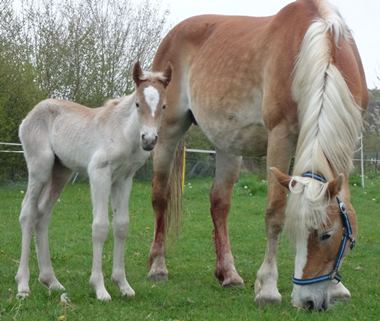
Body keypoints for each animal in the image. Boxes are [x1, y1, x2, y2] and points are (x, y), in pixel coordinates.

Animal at [15, 61, 172, 298]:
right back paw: (23, 285)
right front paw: (100, 287)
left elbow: (121, 225)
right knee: (28, 213)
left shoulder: (124, 179)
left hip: (60, 172)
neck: (123, 132)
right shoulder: (99, 173)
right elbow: (100, 226)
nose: (149, 140)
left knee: (42, 215)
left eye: (163, 106)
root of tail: (29, 116)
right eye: (137, 104)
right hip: (40, 168)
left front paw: (123, 285)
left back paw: (51, 281)